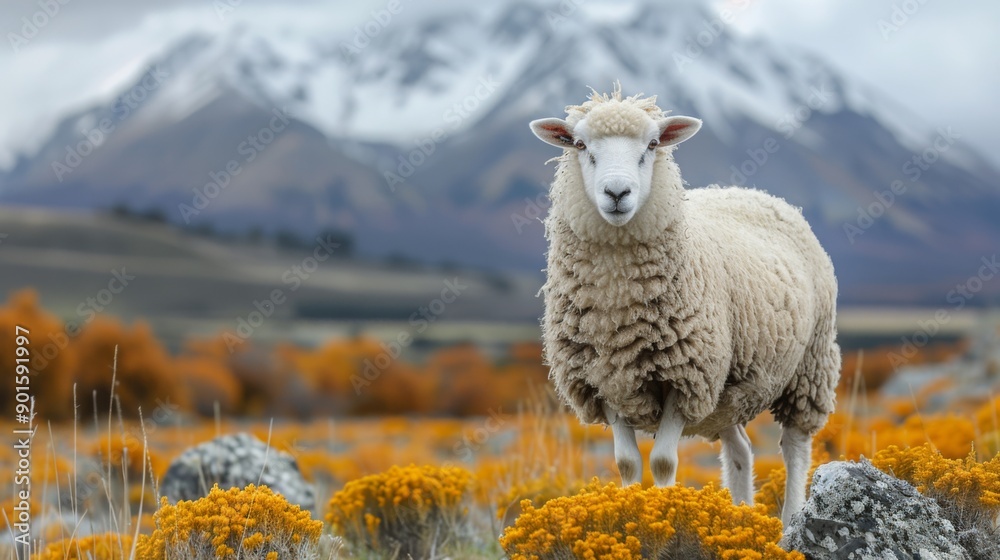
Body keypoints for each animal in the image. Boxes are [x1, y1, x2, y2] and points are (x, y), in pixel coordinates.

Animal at [528, 86, 840, 526]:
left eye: (652, 145)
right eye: (580, 145)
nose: (617, 193)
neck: (617, 304)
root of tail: (758, 194)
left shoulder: (685, 377)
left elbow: (662, 461)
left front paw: (664, 511)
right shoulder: (606, 382)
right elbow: (626, 463)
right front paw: (630, 513)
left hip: (808, 364)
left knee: (795, 445)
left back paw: (790, 520)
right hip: (726, 392)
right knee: (740, 449)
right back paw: (741, 517)